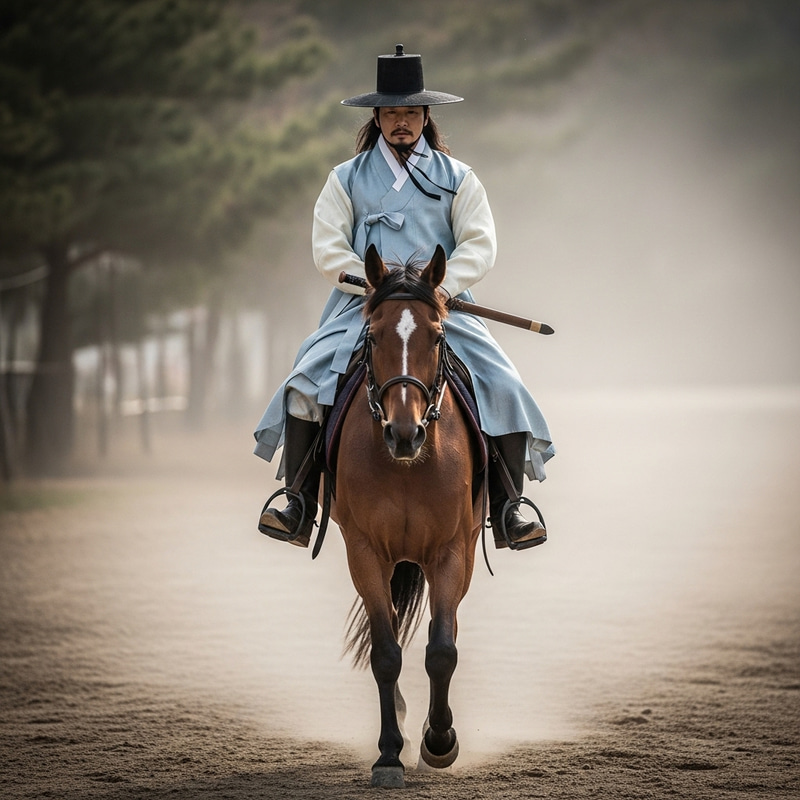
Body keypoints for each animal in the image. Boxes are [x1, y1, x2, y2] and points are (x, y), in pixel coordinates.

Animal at [331, 243, 484, 788]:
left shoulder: (451, 551)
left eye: (437, 335)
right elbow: (385, 652)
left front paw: (439, 741)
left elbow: (441, 650)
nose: (404, 433)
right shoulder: (365, 552)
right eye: (373, 334)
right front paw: (389, 754)